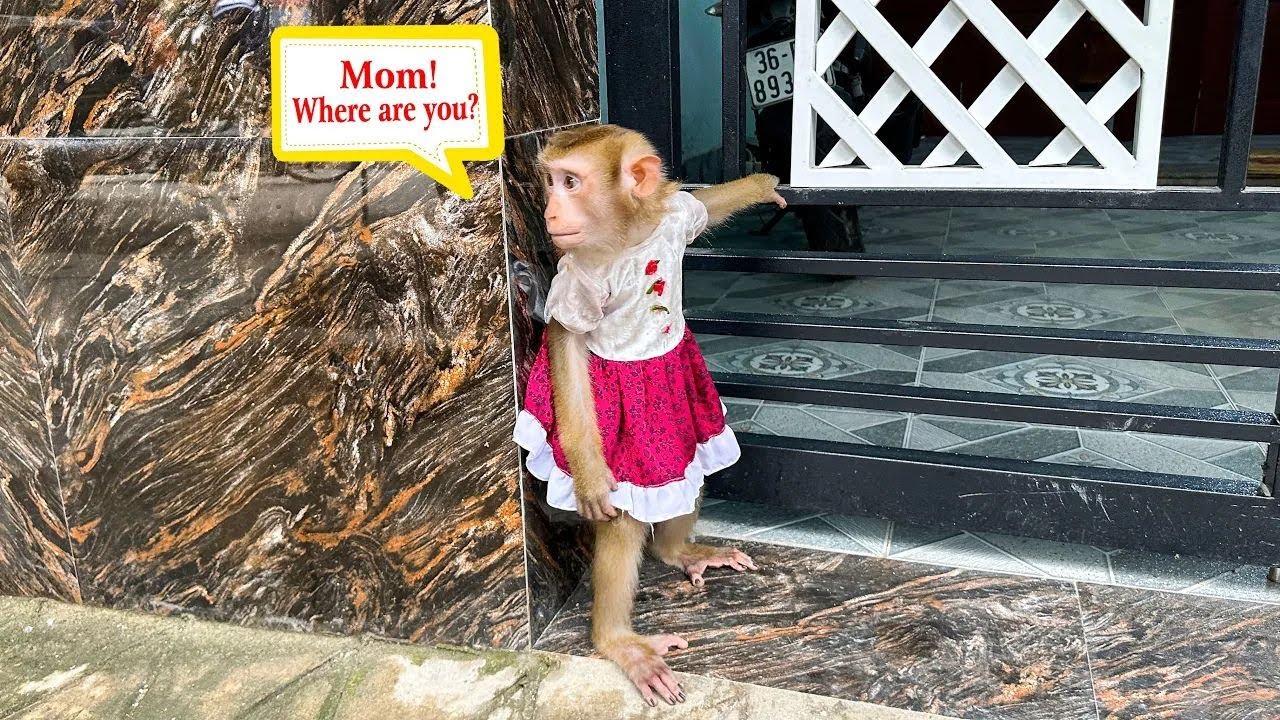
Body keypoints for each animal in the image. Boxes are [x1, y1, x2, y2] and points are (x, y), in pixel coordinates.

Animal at [513, 124, 785, 706]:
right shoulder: (580, 277)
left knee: (691, 464)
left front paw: (760, 186)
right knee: (625, 518)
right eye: (553, 183)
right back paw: (618, 642)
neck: (627, 240)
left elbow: (700, 205)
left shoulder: (673, 217)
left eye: (569, 182)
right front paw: (592, 477)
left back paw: (677, 551)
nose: (550, 211)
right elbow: (569, 345)